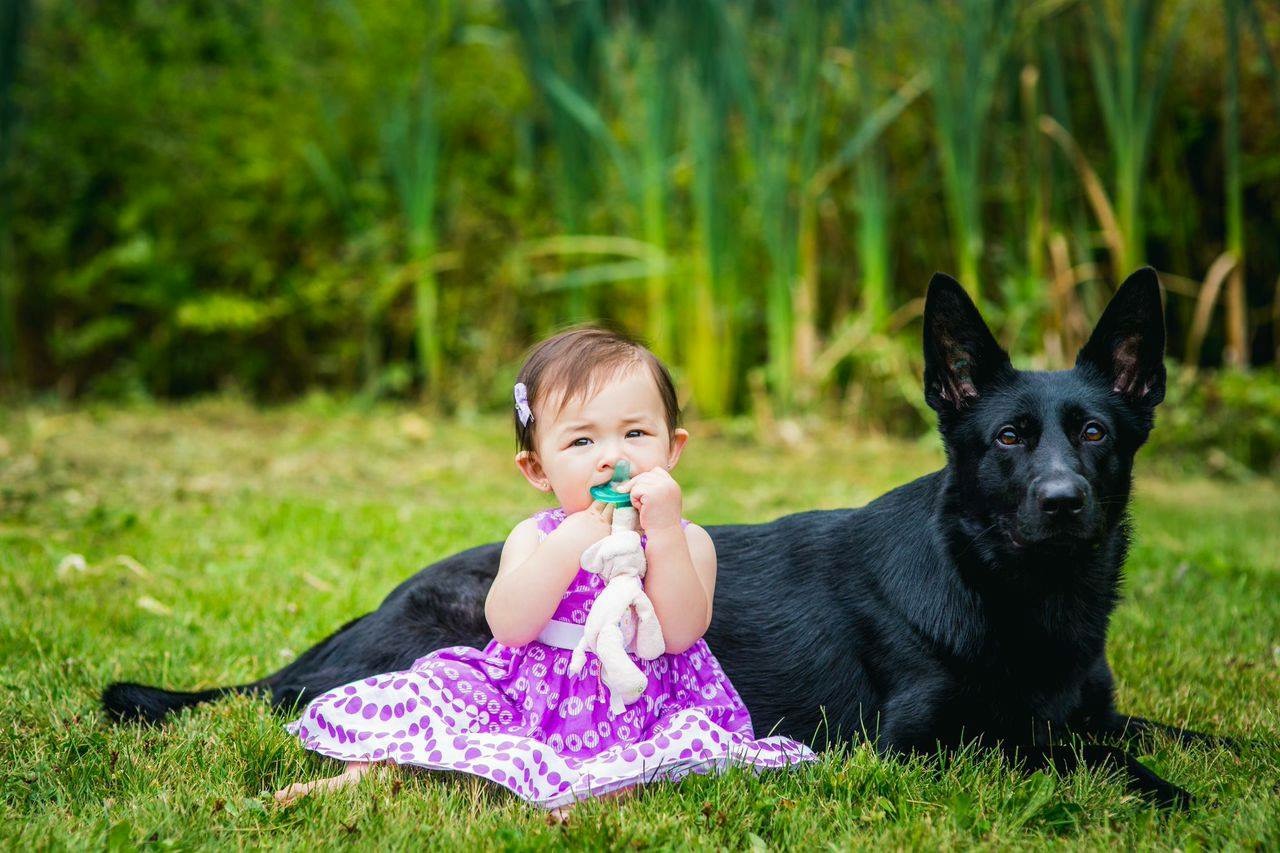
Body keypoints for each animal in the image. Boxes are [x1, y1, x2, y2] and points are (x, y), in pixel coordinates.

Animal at [107, 267, 1218, 804]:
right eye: (1007, 439)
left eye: (1093, 434)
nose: (1063, 501)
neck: (1012, 591)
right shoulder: (922, 741)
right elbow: (1060, 754)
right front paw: (1161, 796)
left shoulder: (1089, 709)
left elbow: (1167, 734)